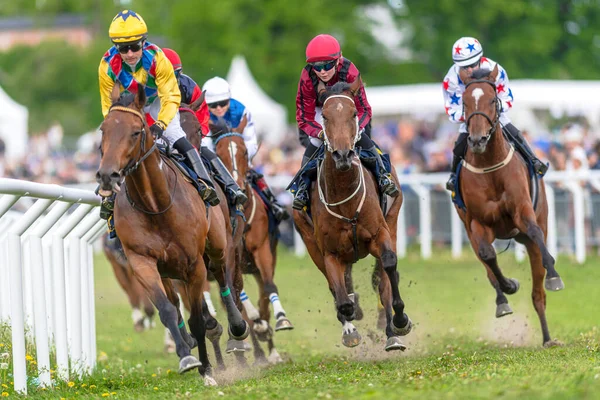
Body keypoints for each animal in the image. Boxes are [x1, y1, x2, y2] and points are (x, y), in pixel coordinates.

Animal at [95, 85, 248, 384]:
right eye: (103, 130)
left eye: (136, 131)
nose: (108, 175)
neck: (156, 205)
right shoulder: (141, 262)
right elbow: (167, 309)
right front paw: (187, 356)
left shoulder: (194, 265)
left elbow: (199, 318)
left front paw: (207, 370)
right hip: (168, 270)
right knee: (177, 302)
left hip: (218, 245)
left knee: (224, 280)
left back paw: (236, 329)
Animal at [292, 79, 412, 352]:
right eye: (325, 116)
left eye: (354, 113)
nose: (343, 155)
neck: (345, 201)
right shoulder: (329, 252)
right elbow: (341, 294)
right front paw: (350, 323)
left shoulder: (380, 234)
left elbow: (388, 267)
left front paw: (399, 322)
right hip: (311, 242)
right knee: (339, 285)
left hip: (393, 220)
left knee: (382, 279)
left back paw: (390, 331)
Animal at [458, 65, 564, 346]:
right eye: (464, 101)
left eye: (492, 100)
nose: (477, 140)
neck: (490, 167)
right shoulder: (477, 223)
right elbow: (488, 257)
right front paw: (509, 285)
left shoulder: (523, 211)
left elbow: (536, 232)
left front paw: (554, 274)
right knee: (487, 263)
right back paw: (502, 299)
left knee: (538, 292)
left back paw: (548, 337)